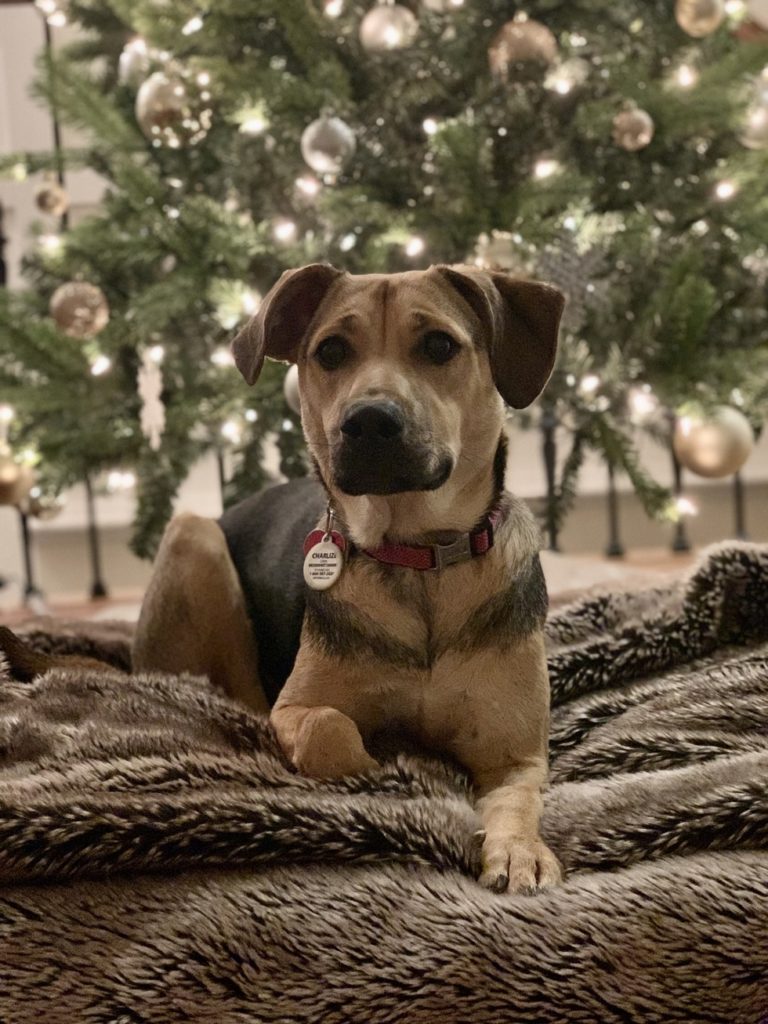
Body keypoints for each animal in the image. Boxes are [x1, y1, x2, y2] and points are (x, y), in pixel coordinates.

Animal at [132, 264, 565, 897]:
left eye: (440, 345)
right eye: (331, 351)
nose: (368, 421)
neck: (417, 559)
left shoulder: (514, 752)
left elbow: (519, 800)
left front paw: (520, 853)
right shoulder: (297, 710)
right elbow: (330, 732)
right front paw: (388, 767)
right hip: (195, 536)